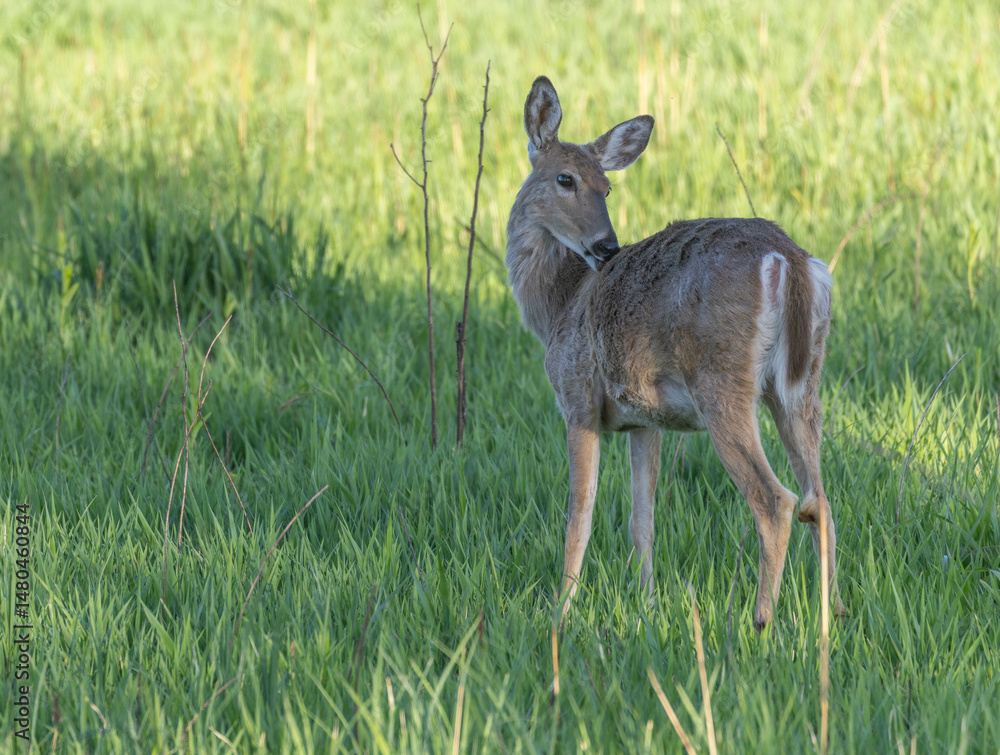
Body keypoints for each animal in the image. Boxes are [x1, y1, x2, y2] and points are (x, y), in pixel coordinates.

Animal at [506, 76, 845, 632]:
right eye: (565, 179)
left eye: (606, 187)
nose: (606, 246)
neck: (558, 305)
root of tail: (790, 261)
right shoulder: (643, 421)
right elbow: (641, 519)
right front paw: (646, 607)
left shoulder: (577, 398)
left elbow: (580, 514)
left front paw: (560, 611)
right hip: (801, 385)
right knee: (821, 500)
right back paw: (831, 611)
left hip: (722, 383)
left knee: (777, 501)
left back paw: (759, 621)